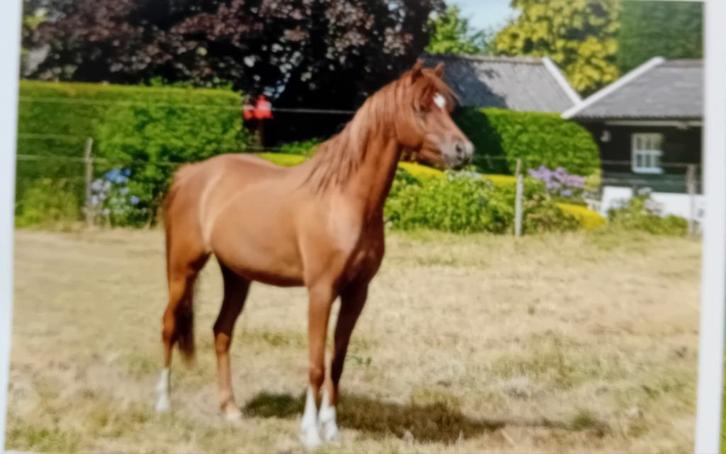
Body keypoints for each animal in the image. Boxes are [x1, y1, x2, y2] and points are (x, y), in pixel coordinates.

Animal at [155, 60, 474, 448]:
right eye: (422, 107)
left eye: (449, 106)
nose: (463, 150)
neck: (344, 199)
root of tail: (191, 173)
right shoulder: (320, 291)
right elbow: (316, 364)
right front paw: (310, 432)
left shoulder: (357, 293)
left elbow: (337, 361)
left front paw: (331, 428)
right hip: (183, 268)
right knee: (169, 325)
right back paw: (163, 403)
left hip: (237, 275)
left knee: (221, 332)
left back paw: (230, 409)